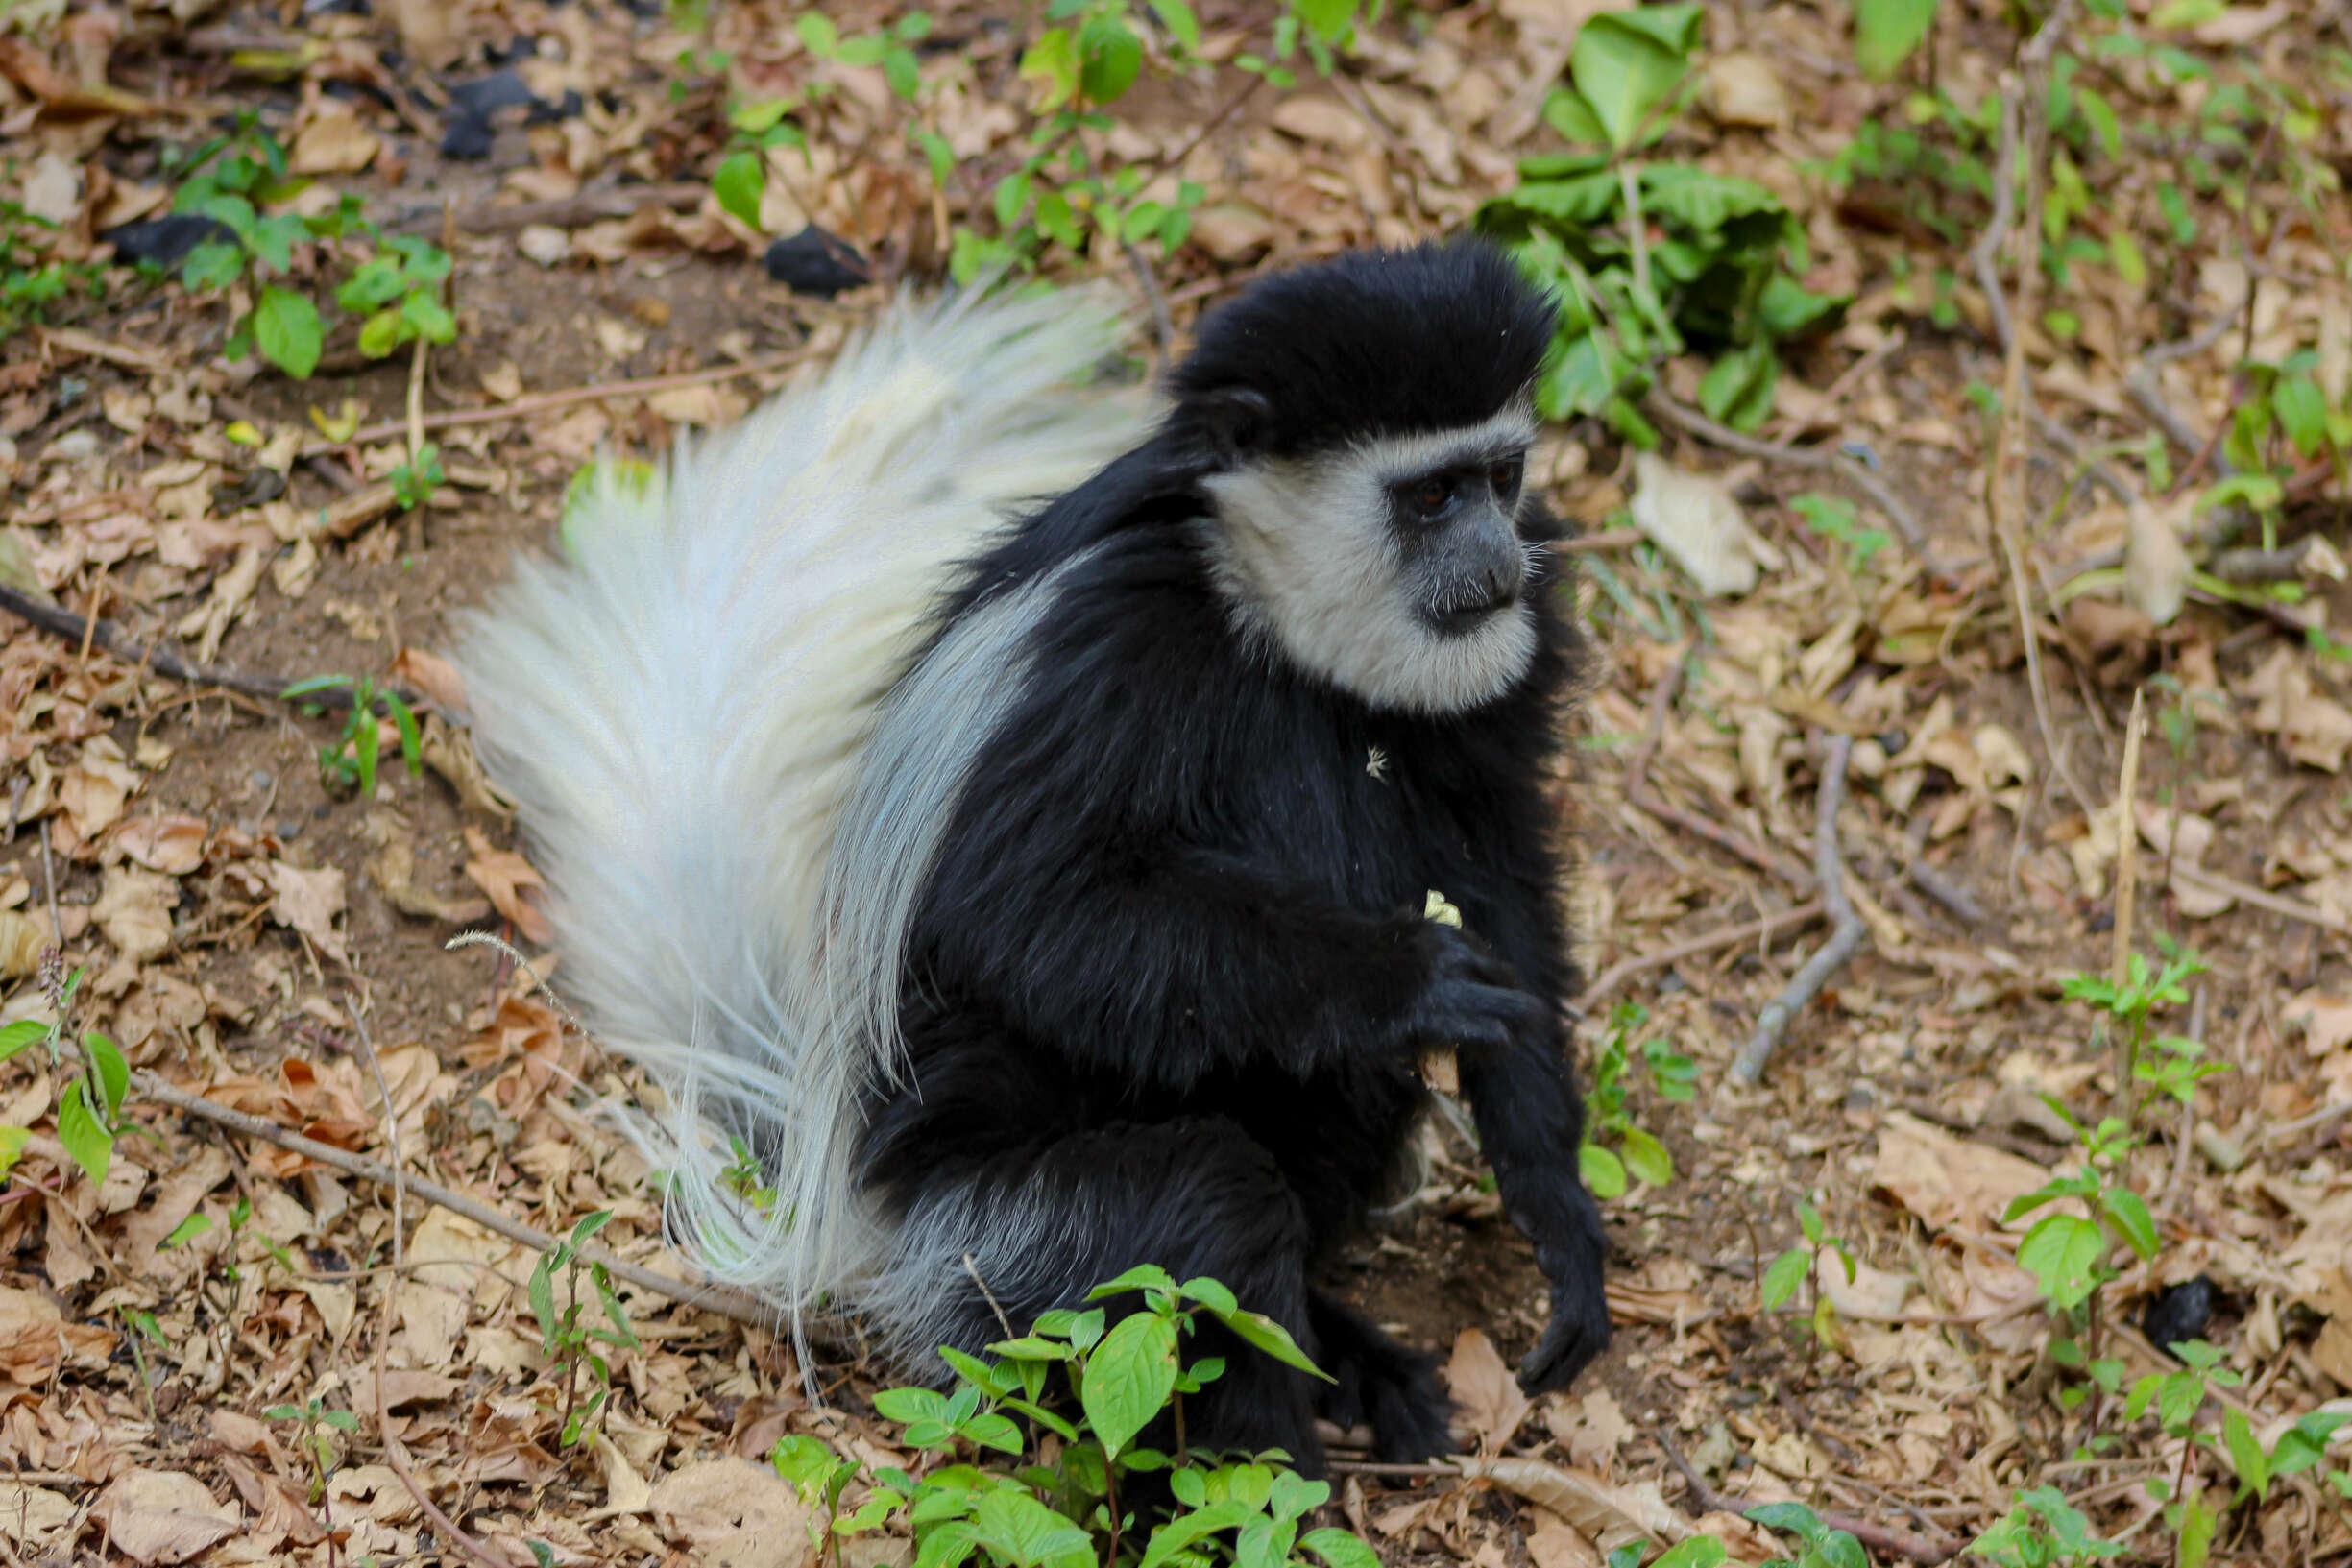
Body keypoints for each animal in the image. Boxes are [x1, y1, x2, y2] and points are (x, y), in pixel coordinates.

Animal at [449, 242, 1609, 1476]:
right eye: (1429, 496)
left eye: (1499, 476)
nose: (1496, 557)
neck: (1266, 612)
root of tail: (853, 1206)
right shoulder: (1107, 650)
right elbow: (1025, 912)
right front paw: (1406, 976)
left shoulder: (1509, 653)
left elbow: (1498, 877)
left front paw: (1555, 1212)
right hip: (998, 1243)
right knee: (1201, 1206)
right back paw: (1259, 1469)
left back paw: (1342, 1348)